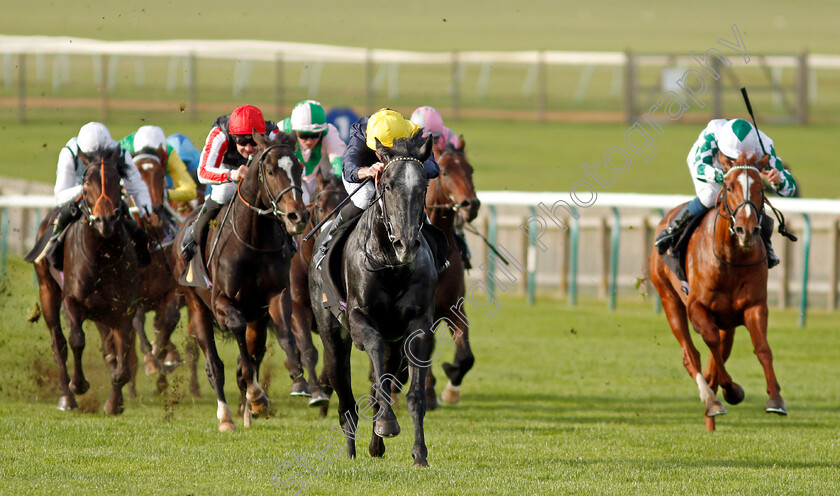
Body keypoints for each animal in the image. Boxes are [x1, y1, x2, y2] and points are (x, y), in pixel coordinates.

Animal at [32, 147, 142, 414]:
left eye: (117, 180)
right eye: (86, 182)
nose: (105, 220)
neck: (101, 256)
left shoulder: (123, 307)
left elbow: (122, 352)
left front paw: (114, 401)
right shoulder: (73, 300)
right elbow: (76, 340)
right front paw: (78, 384)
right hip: (47, 290)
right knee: (58, 343)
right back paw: (66, 396)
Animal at [172, 131, 310, 430]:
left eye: (299, 168)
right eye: (270, 171)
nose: (298, 216)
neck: (252, 240)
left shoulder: (276, 295)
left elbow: (285, 334)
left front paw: (299, 381)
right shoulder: (221, 301)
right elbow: (235, 329)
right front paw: (257, 394)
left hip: (256, 320)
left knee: (253, 352)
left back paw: (248, 411)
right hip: (196, 306)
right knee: (214, 365)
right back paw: (226, 416)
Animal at [310, 131, 440, 464]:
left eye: (423, 187)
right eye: (388, 185)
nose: (406, 243)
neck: (391, 265)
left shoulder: (419, 325)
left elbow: (414, 394)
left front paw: (419, 453)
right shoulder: (359, 319)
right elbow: (375, 353)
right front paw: (386, 423)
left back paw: (374, 445)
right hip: (332, 334)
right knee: (345, 400)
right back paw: (351, 452)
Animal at [648, 154, 788, 430]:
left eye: (761, 187)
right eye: (729, 186)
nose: (747, 230)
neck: (731, 259)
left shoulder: (754, 306)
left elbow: (762, 348)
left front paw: (776, 399)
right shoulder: (697, 308)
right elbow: (710, 342)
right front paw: (731, 391)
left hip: (727, 323)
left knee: (717, 355)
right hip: (669, 298)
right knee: (690, 355)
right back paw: (711, 401)